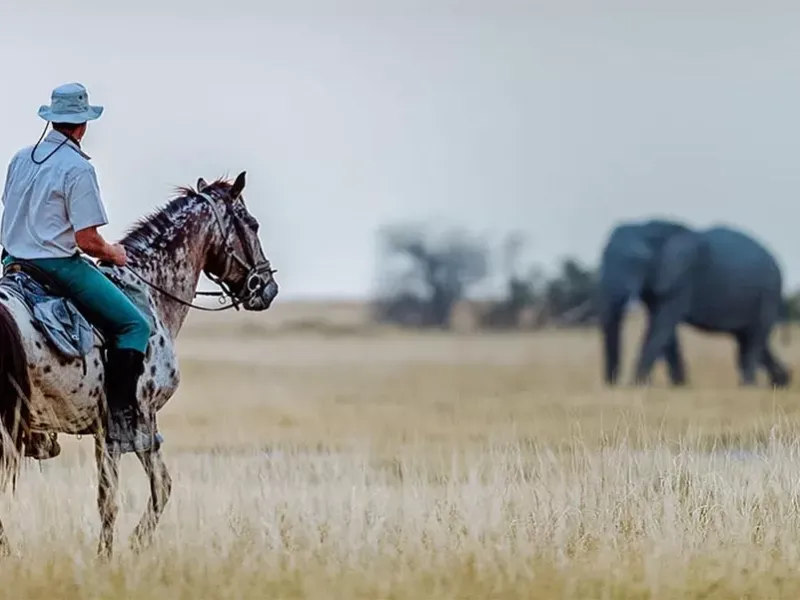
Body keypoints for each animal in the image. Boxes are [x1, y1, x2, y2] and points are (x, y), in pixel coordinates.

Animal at [0, 170, 279, 558]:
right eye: (252, 224)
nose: (268, 288)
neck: (150, 293)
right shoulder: (139, 418)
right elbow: (153, 489)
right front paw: (129, 546)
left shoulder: (104, 429)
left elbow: (109, 496)